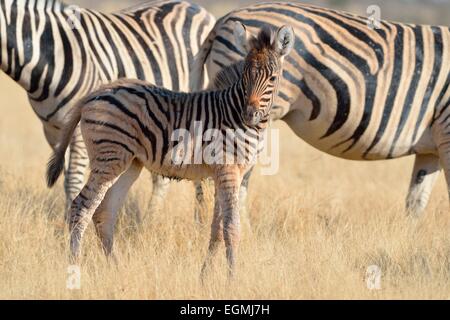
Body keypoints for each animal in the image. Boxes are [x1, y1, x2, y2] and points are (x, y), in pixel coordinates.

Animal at [0, 0, 214, 218]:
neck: (49, 51)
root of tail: (196, 7)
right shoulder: (54, 130)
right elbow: (66, 176)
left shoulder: (80, 129)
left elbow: (73, 181)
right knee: (161, 179)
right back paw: (151, 219)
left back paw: (199, 217)